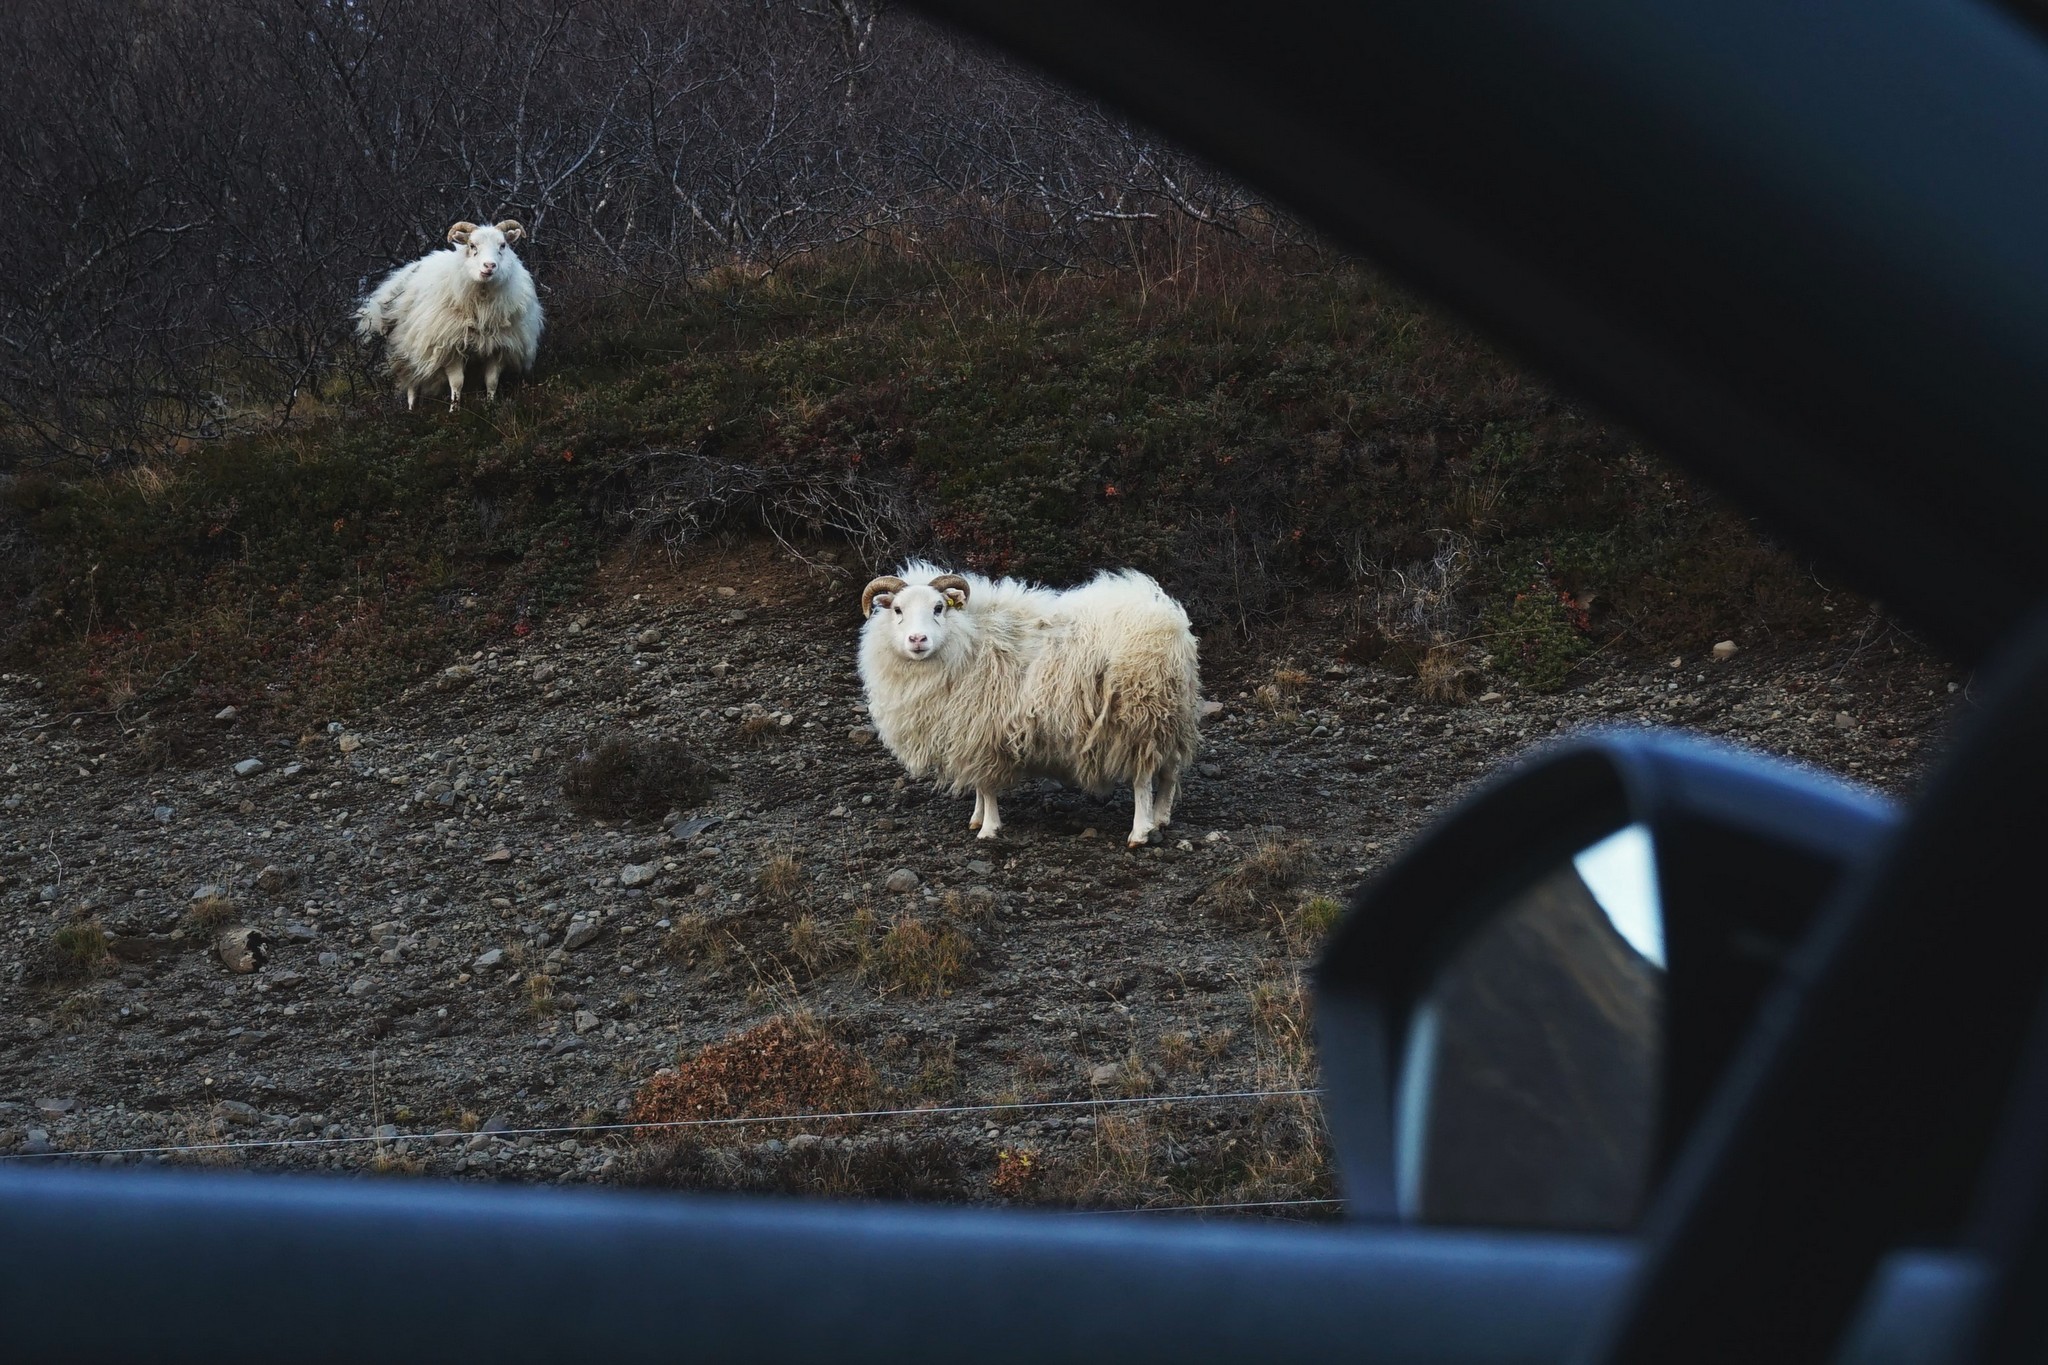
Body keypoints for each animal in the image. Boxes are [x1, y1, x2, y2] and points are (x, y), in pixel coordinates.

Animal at [356, 218, 544, 409]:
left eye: (503, 245)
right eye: (472, 245)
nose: (489, 266)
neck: (482, 305)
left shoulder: (499, 348)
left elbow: (491, 382)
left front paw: (490, 407)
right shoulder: (449, 346)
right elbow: (457, 383)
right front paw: (455, 410)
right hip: (405, 350)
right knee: (411, 384)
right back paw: (411, 410)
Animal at [860, 564, 1196, 843]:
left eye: (939, 608)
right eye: (898, 609)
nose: (917, 639)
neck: (968, 639)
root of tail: (1168, 618)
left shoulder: (983, 729)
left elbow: (987, 786)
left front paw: (988, 828)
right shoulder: (971, 732)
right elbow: (980, 785)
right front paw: (976, 818)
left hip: (1138, 712)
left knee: (1143, 778)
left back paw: (1140, 831)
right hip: (1169, 712)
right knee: (1170, 770)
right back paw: (1161, 817)